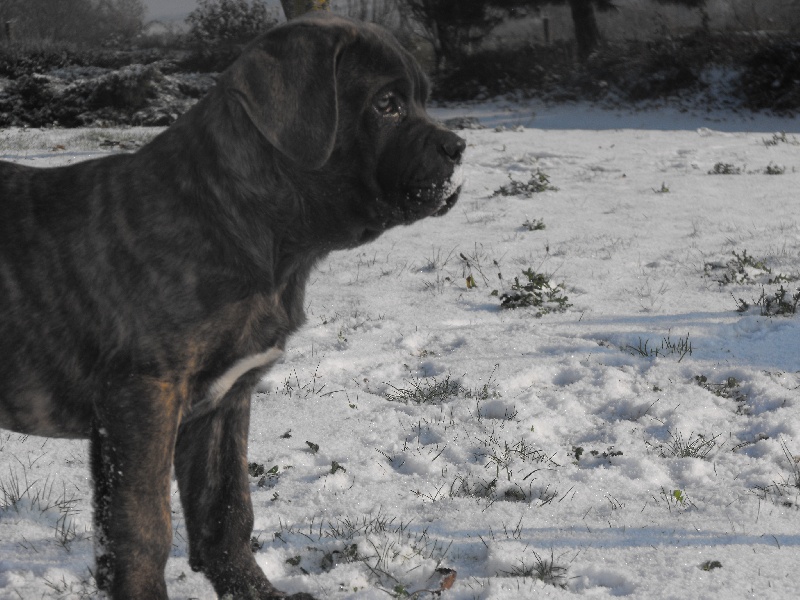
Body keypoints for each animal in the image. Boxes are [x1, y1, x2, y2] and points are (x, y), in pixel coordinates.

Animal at [0, 10, 466, 600]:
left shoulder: (224, 400)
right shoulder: (142, 397)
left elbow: (225, 510)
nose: (457, 147)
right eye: (387, 104)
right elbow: (143, 527)